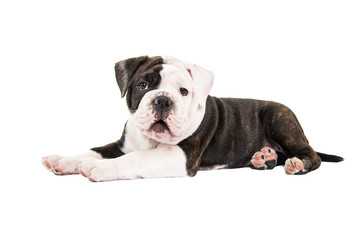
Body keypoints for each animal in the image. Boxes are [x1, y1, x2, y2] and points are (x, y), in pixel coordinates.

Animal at [42, 55, 344, 181]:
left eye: (183, 91)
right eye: (143, 85)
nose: (162, 100)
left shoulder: (180, 155)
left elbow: (135, 159)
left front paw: (98, 168)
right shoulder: (123, 144)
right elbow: (95, 149)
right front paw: (64, 160)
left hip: (280, 120)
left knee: (309, 154)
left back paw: (296, 163)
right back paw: (263, 157)